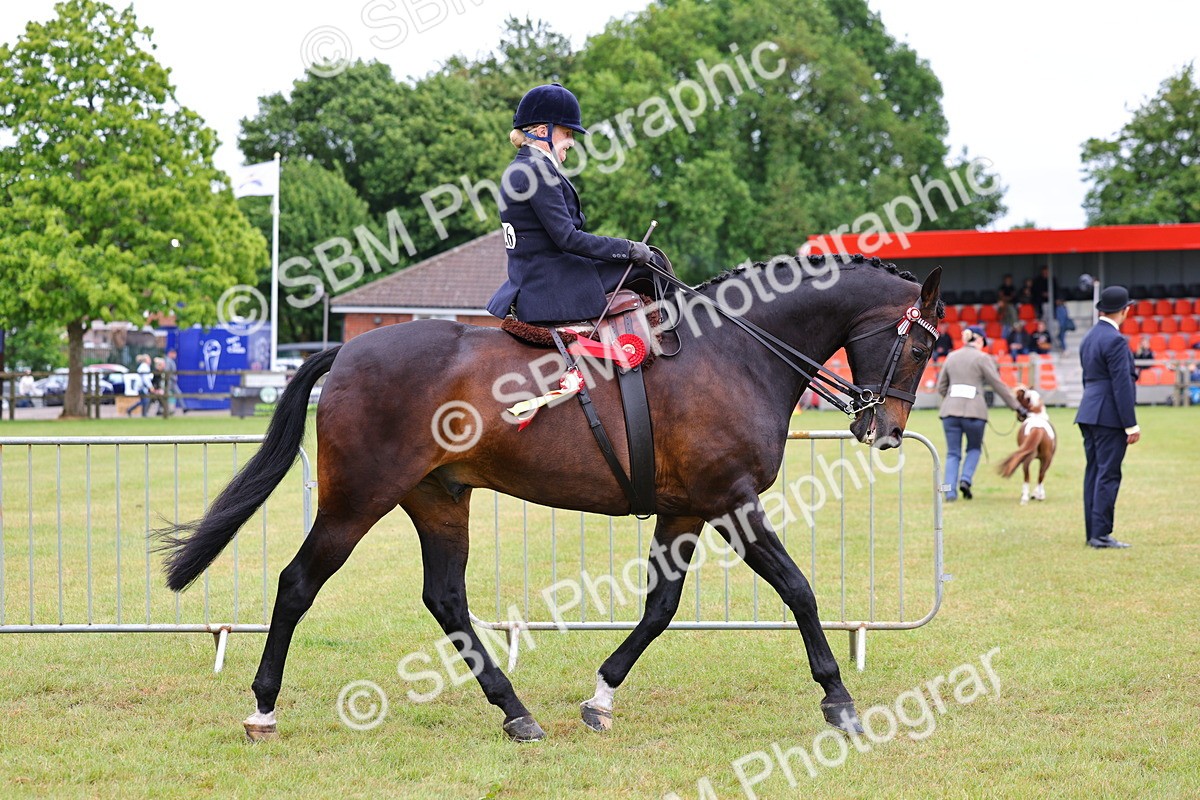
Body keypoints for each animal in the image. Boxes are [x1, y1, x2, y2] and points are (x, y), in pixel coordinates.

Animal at [158, 254, 943, 742]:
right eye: (922, 347)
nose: (886, 430)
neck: (736, 351)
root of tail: (348, 350)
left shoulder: (685, 511)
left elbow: (660, 608)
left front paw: (601, 696)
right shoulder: (732, 501)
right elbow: (797, 588)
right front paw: (839, 700)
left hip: (439, 500)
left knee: (446, 599)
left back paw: (515, 711)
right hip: (357, 500)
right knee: (297, 584)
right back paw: (263, 708)